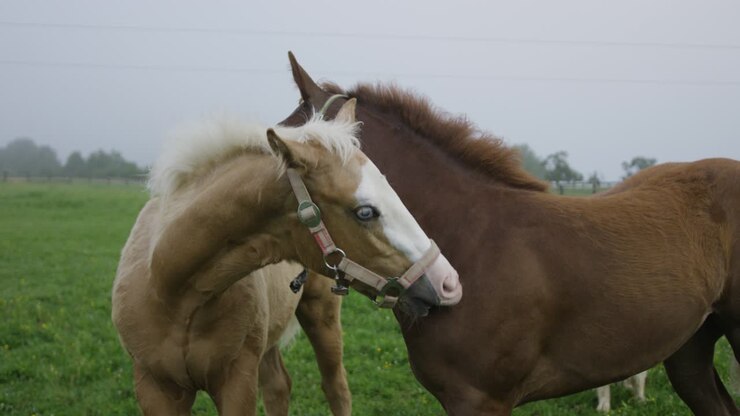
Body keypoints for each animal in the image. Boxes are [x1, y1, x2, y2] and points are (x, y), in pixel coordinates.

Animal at [111, 99, 462, 415]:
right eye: (364, 211)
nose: (449, 283)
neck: (175, 290)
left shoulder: (237, 379)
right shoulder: (155, 387)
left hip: (321, 317)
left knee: (335, 388)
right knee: (279, 386)